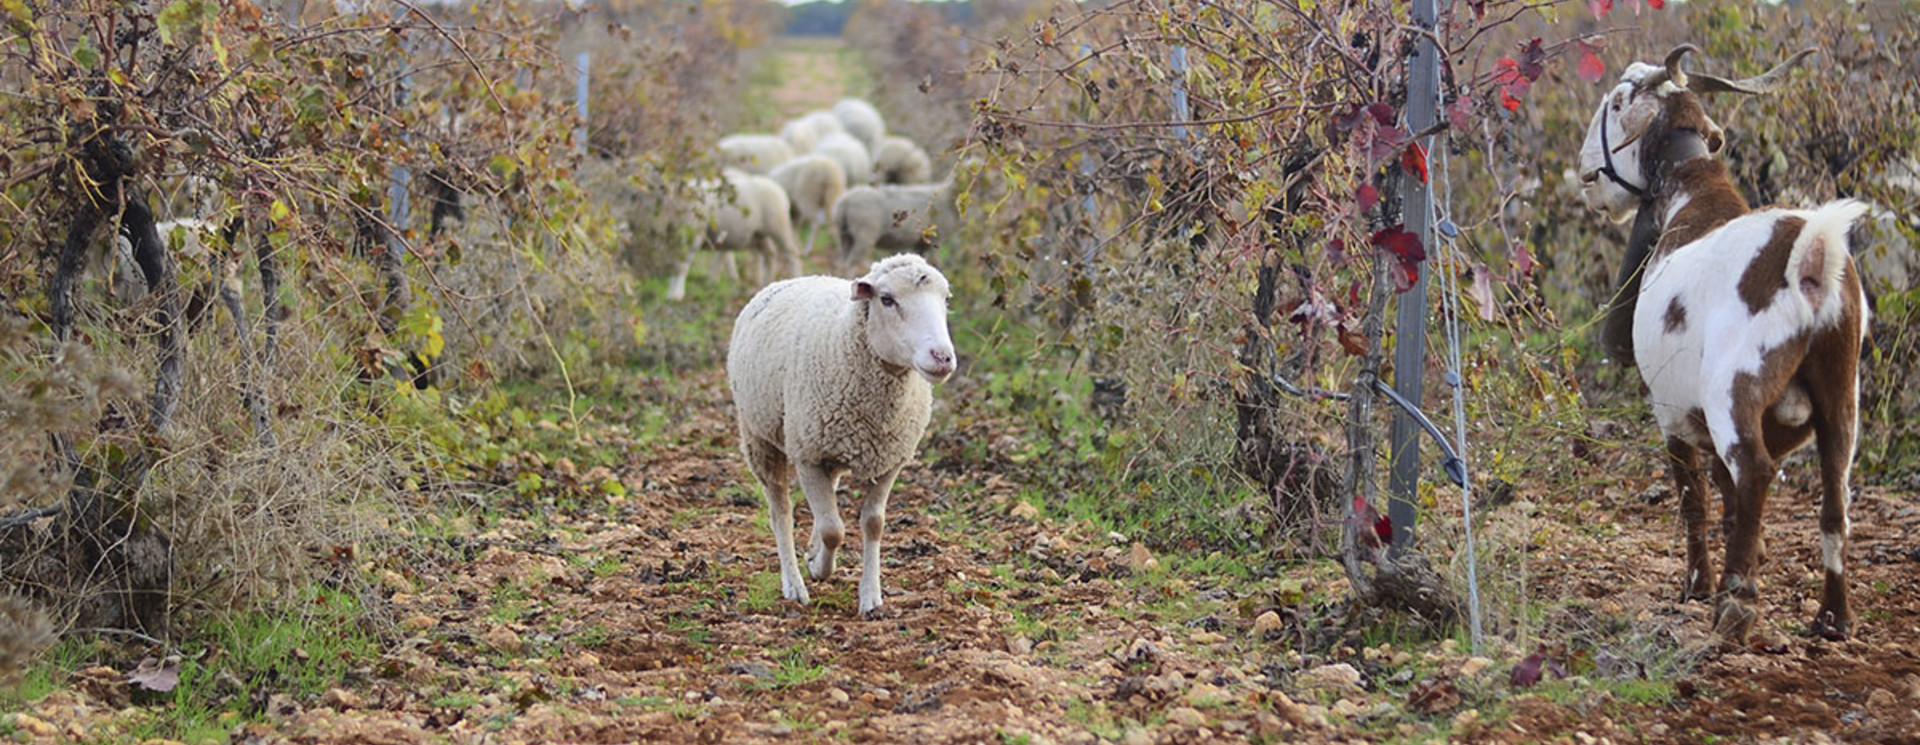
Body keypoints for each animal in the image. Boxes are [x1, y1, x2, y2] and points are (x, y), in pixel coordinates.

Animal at [668, 169, 802, 301]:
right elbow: (675, 263)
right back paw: (765, 283)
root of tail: (776, 187)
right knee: (769, 254)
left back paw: (795, 275)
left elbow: (682, 264)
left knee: (791, 254)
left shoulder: (694, 235)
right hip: (759, 235)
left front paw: (676, 295)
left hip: (778, 228)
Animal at [721, 253, 956, 614]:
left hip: (828, 449)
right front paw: (820, 569)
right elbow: (834, 530)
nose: (942, 357)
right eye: (887, 299)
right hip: (759, 437)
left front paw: (870, 596)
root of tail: (800, 277)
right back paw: (794, 584)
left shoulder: (890, 461)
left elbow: (873, 524)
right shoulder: (807, 455)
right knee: (781, 511)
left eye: (945, 300)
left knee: (824, 499)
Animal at [1574, 45, 1873, 641]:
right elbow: (1726, 495)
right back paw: (1833, 616)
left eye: (1616, 102)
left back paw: (1736, 601)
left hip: (1733, 391)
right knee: (1835, 498)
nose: (1585, 170)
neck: (1695, 194)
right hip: (1840, 397)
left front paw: (1699, 584)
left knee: (1755, 470)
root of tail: (1811, 254)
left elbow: (1695, 498)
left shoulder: (1670, 413)